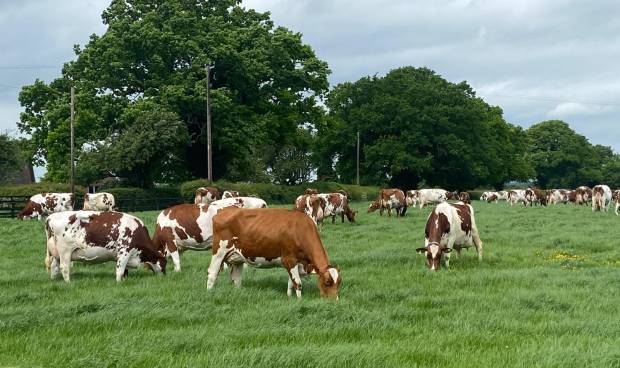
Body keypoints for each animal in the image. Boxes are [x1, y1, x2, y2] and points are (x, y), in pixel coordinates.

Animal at [206, 207, 342, 300]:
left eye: (339, 282)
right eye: (327, 282)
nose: (334, 301)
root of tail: (224, 210)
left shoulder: (295, 263)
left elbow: (290, 283)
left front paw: (289, 297)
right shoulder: (289, 259)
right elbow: (298, 283)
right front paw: (300, 300)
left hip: (237, 257)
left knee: (236, 278)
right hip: (219, 252)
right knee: (212, 273)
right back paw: (209, 293)